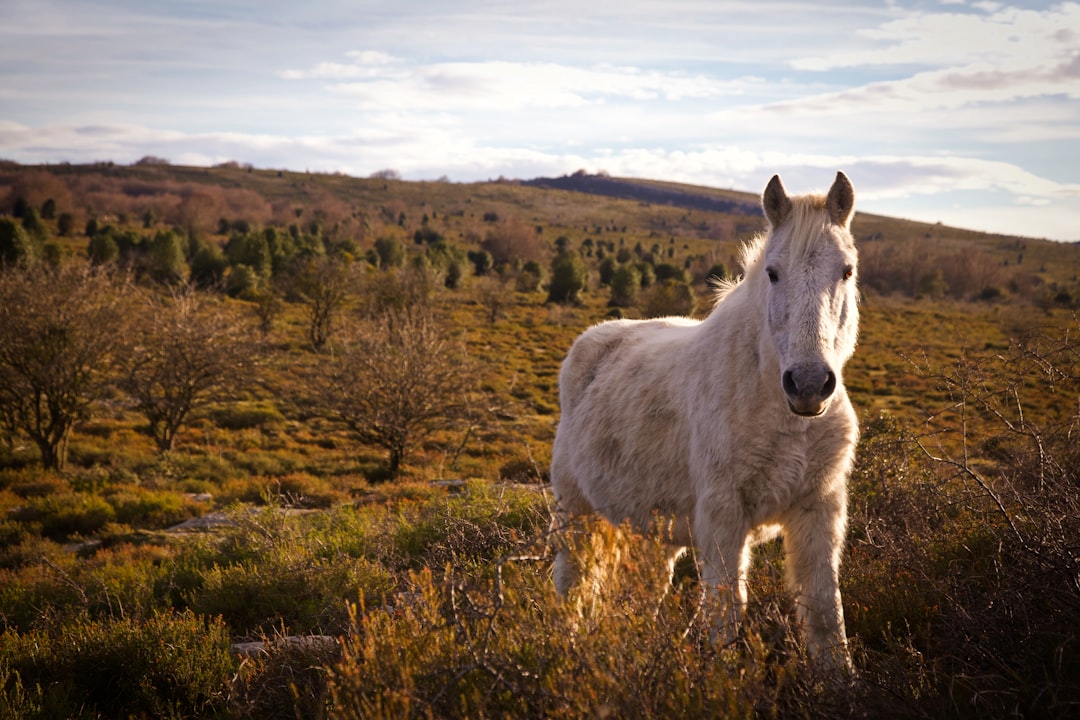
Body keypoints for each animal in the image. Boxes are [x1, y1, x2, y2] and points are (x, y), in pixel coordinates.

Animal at [552, 171, 855, 669]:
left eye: (846, 271)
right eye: (773, 272)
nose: (809, 384)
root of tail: (593, 339)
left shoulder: (818, 510)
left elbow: (826, 614)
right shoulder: (723, 519)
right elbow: (726, 615)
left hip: (654, 531)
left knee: (645, 595)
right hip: (575, 511)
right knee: (570, 584)